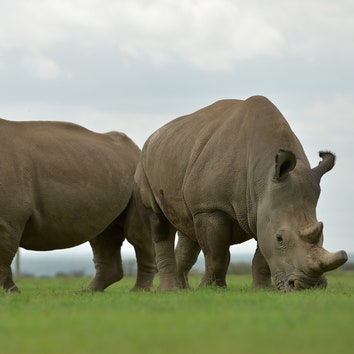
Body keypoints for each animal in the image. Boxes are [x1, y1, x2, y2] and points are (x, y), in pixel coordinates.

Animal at [0, 119, 155, 294]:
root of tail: (136, 150)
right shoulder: (8, 220)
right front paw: (12, 293)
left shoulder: (7, 218)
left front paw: (9, 293)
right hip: (107, 169)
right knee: (103, 234)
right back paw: (90, 292)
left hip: (138, 177)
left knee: (136, 235)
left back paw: (139, 291)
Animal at [134, 95, 348, 292]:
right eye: (280, 239)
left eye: (323, 235)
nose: (309, 286)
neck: (264, 175)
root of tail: (154, 135)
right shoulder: (211, 207)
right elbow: (217, 254)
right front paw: (211, 289)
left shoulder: (263, 209)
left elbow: (261, 255)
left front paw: (262, 290)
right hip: (145, 162)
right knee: (159, 221)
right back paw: (169, 291)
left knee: (187, 227)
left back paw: (182, 291)